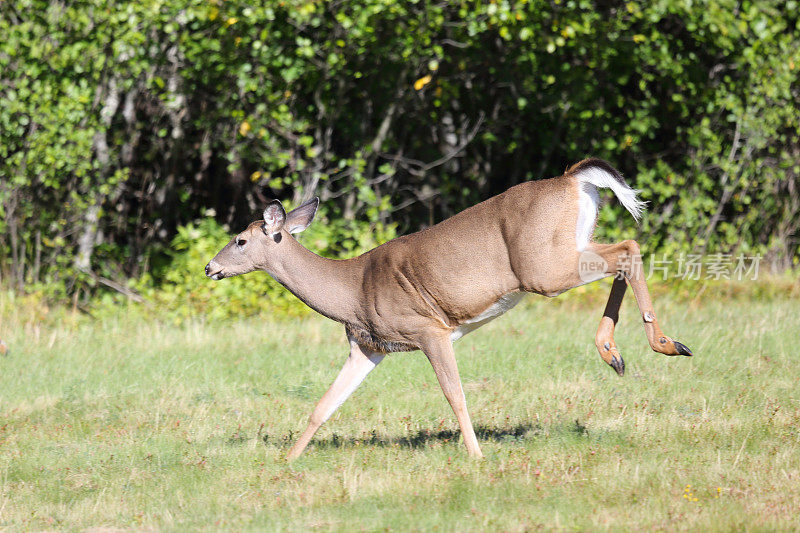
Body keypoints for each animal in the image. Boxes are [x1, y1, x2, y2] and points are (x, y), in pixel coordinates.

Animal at [206, 157, 692, 458]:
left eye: (240, 240)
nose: (211, 267)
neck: (352, 291)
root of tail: (572, 178)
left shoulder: (429, 330)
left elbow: (455, 395)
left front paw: (476, 455)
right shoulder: (369, 347)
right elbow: (323, 406)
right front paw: (287, 460)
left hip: (542, 267)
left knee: (629, 248)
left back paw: (664, 343)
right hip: (566, 250)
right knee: (625, 250)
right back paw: (616, 353)